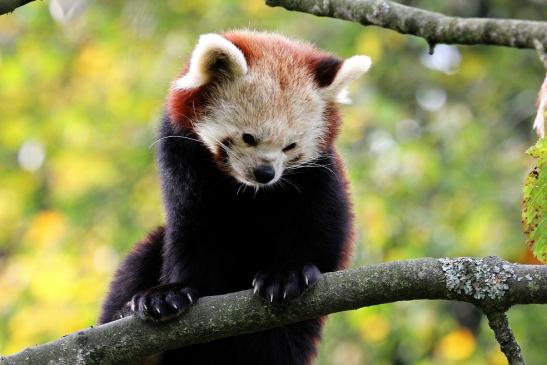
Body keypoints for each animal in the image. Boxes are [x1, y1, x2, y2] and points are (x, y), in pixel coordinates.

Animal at [99, 29, 372, 362]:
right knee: (142, 257)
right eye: (248, 137)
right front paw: (171, 292)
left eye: (290, 146)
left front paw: (288, 274)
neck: (247, 192)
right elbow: (192, 232)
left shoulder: (319, 173)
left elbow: (324, 231)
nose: (265, 173)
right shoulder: (182, 157)